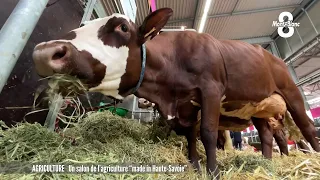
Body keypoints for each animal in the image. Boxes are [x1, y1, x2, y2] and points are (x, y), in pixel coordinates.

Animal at [33, 7, 320, 178]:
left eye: (122, 28)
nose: (44, 52)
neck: (167, 94)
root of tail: (272, 56)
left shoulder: (210, 90)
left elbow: (207, 132)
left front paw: (212, 171)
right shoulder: (187, 104)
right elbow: (192, 135)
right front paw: (193, 164)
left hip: (291, 93)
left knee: (306, 128)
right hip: (258, 108)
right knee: (268, 136)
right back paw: (268, 165)